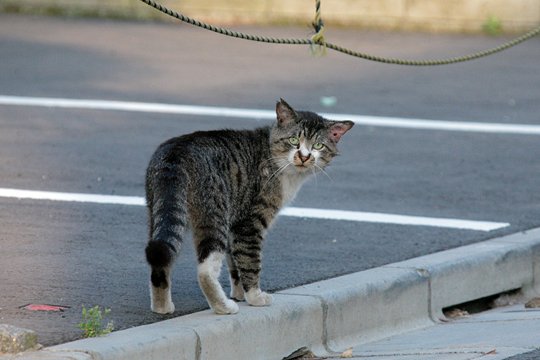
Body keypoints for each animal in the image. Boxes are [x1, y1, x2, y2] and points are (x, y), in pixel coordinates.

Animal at [144, 99, 354, 316]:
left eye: (318, 145)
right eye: (294, 140)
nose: (304, 156)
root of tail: (176, 154)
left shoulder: (234, 222)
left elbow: (235, 264)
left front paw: (240, 293)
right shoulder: (249, 223)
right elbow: (250, 260)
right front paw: (254, 297)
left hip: (160, 211)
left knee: (160, 258)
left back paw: (162, 306)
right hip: (215, 214)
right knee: (205, 270)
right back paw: (224, 307)